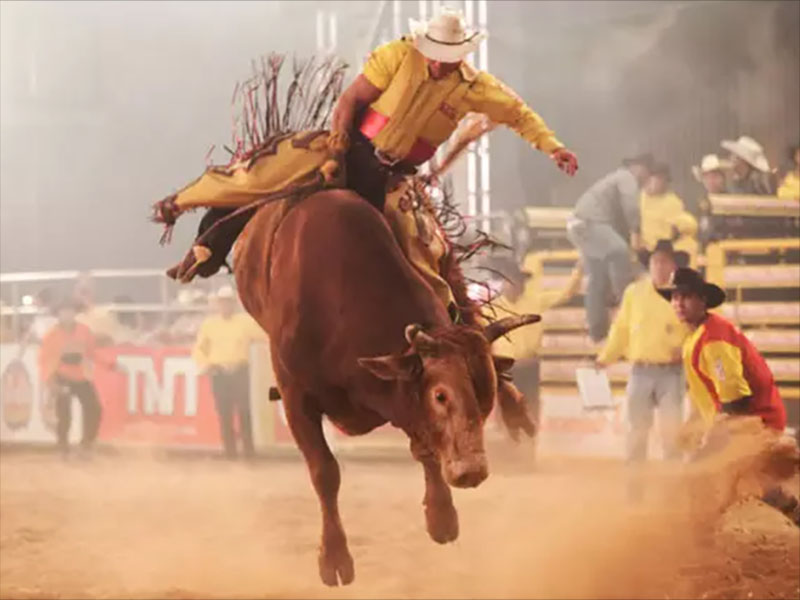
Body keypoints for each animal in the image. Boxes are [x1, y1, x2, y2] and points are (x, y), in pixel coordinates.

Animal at [234, 189, 540, 584]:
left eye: (483, 396)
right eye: (440, 395)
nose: (471, 470)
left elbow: (425, 449)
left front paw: (441, 517)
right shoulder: (295, 396)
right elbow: (325, 471)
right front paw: (334, 558)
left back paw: (517, 410)